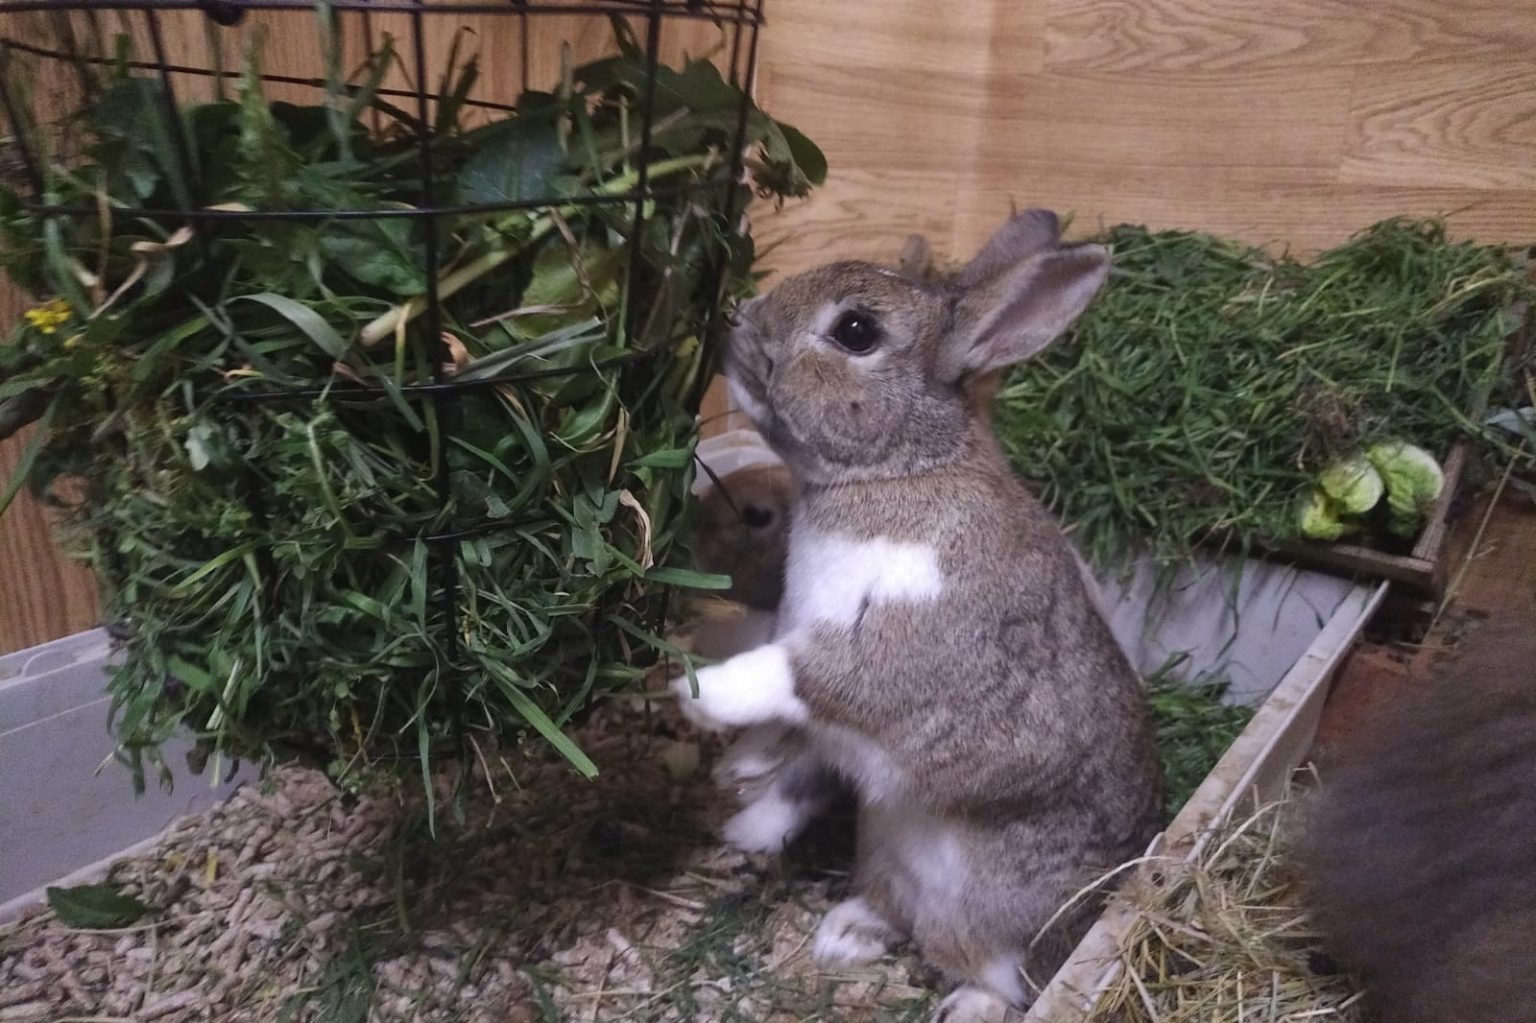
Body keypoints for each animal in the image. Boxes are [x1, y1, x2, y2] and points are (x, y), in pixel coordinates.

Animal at [672, 208, 1161, 1019]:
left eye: (856, 331)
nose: (738, 325)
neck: (896, 471)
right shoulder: (831, 728)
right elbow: (799, 769)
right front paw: (743, 820)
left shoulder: (912, 649)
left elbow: (801, 672)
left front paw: (695, 693)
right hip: (886, 847)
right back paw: (845, 934)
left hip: (1008, 924)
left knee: (1005, 982)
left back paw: (963, 1004)